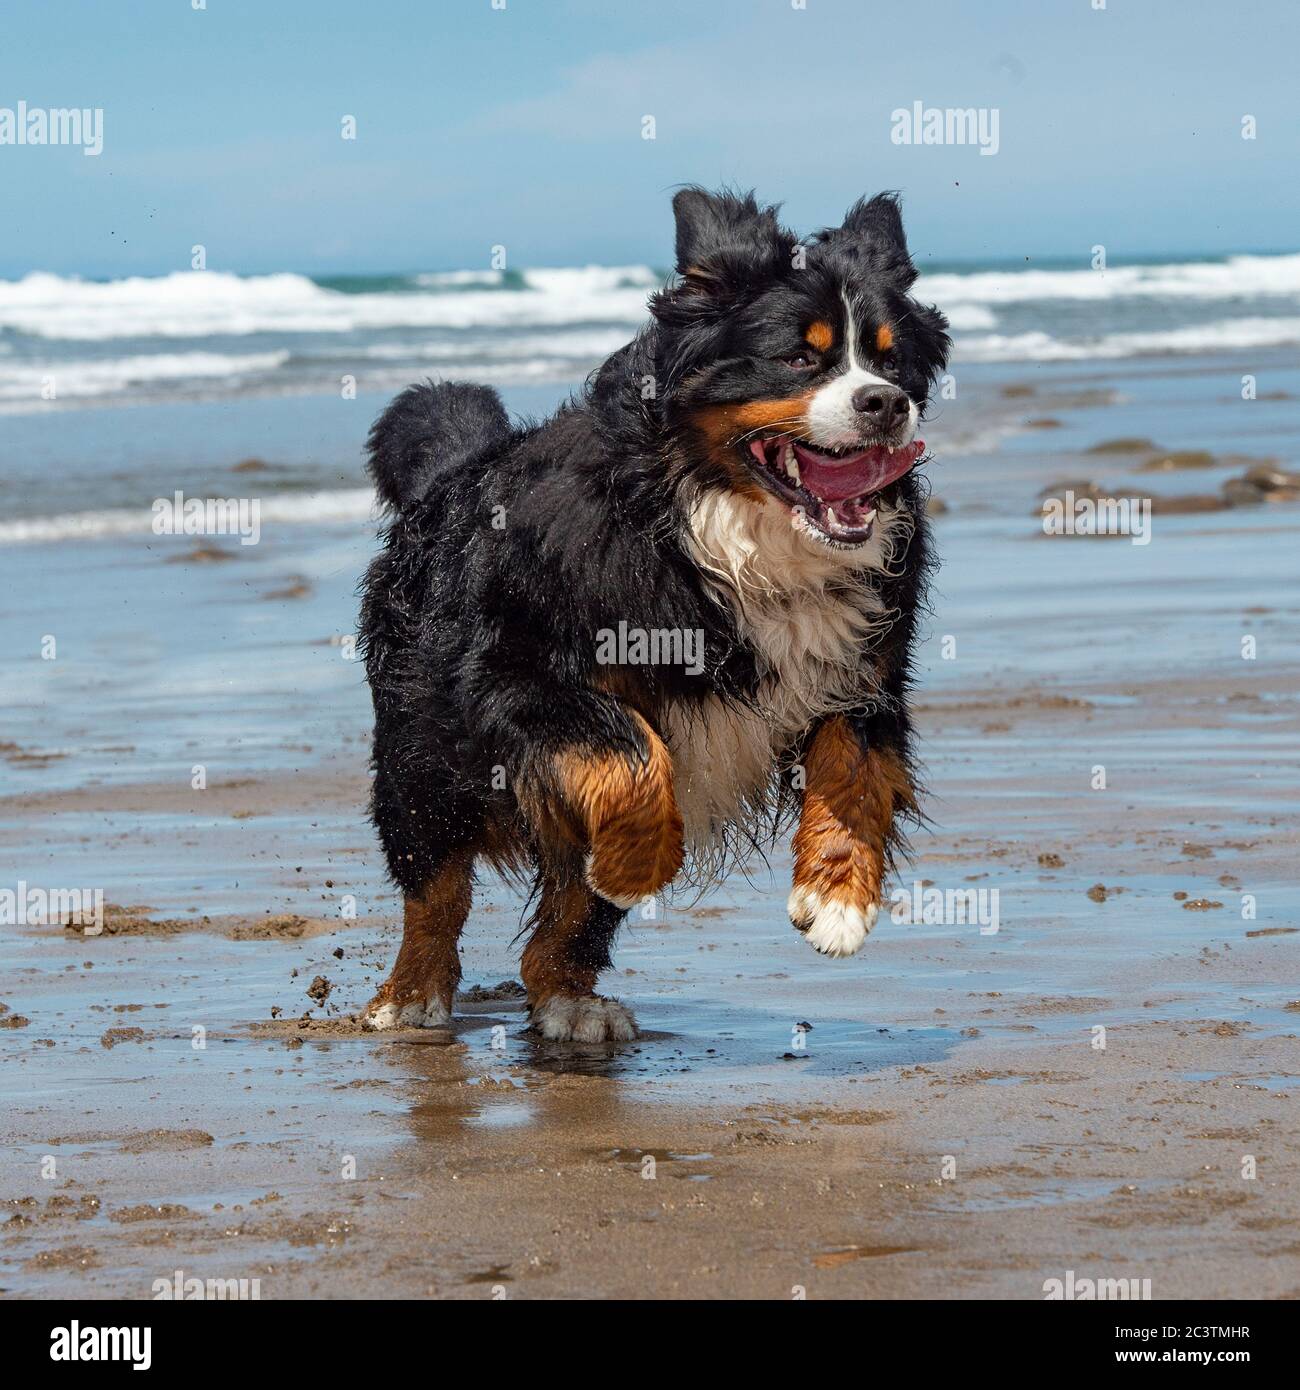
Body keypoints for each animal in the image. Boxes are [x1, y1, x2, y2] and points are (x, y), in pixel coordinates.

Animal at [361, 184, 951, 1039]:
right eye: (799, 358)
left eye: (891, 358)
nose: (885, 403)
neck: (733, 533)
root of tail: (451, 474)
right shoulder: (515, 674)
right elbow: (632, 752)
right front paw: (640, 860)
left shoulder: (863, 668)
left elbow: (857, 767)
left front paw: (838, 898)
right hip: (424, 754)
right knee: (436, 886)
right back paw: (413, 995)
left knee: (566, 918)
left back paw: (571, 1000)